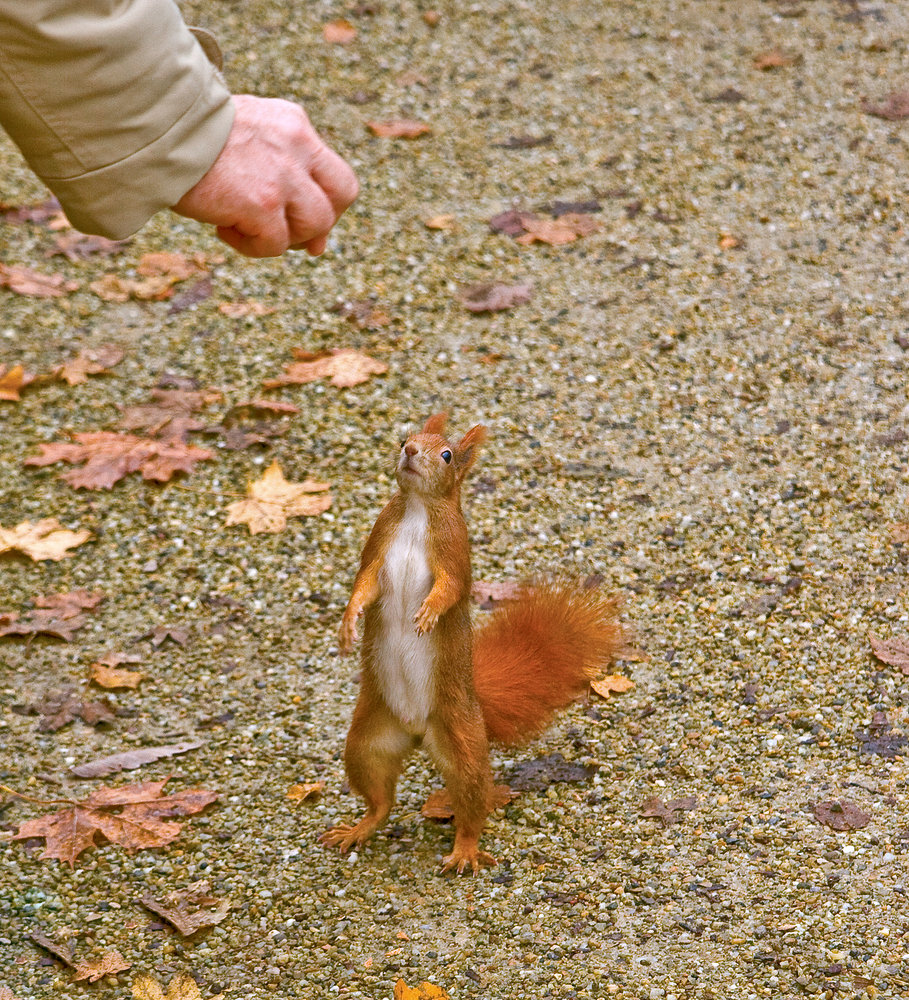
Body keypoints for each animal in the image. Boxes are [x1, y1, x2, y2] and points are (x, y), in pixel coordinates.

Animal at [316, 414, 620, 876]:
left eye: (446, 455)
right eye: (404, 439)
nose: (409, 452)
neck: (418, 510)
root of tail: (416, 733)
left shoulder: (455, 552)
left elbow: (449, 589)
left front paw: (427, 614)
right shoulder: (378, 542)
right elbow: (364, 585)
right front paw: (348, 625)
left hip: (463, 746)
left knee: (472, 804)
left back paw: (464, 850)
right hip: (367, 742)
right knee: (380, 799)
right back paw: (359, 828)